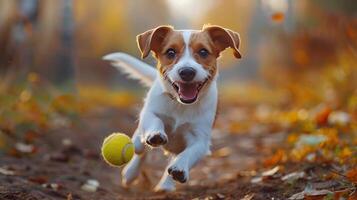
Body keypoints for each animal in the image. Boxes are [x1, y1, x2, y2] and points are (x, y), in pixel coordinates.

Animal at [103, 25, 242, 192]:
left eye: (203, 52)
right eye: (170, 52)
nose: (187, 72)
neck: (180, 104)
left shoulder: (201, 140)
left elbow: (189, 153)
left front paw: (179, 168)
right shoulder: (149, 112)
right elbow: (154, 122)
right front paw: (155, 134)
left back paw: (165, 185)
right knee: (139, 147)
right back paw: (132, 169)